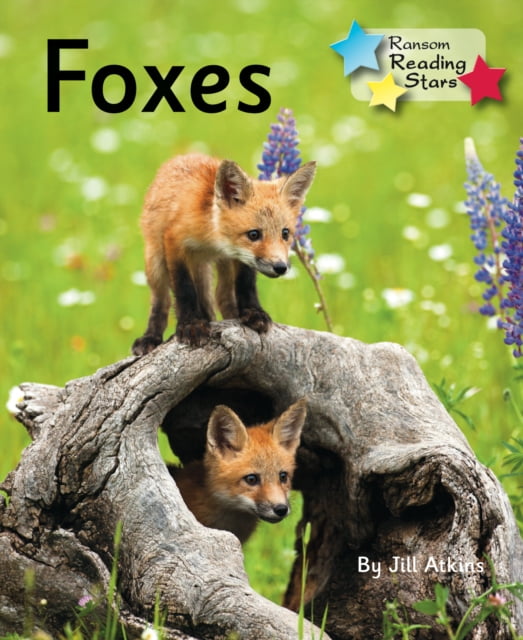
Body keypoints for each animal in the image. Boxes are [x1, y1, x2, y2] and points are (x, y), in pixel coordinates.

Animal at [132, 153, 316, 354]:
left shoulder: (241, 258)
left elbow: (246, 285)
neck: (213, 238)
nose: (280, 267)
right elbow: (184, 289)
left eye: (285, 233)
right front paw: (191, 324)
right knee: (161, 301)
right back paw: (151, 337)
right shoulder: (174, 241)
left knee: (222, 295)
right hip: (155, 260)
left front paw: (253, 312)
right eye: (254, 234)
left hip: (223, 267)